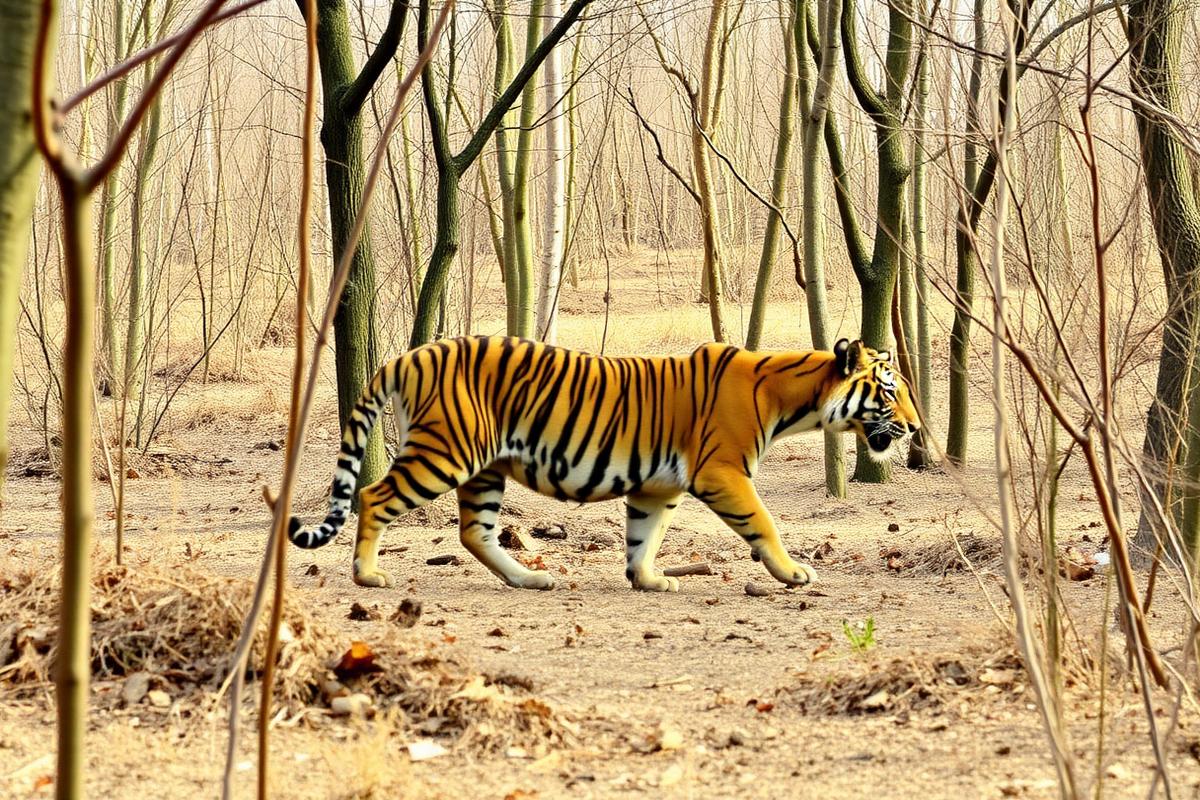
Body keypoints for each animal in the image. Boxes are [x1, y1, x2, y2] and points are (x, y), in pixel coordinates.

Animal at [289, 335, 920, 592]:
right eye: (890, 392)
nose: (916, 428)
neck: (794, 399)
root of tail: (407, 355)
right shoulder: (722, 472)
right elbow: (764, 523)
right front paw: (793, 574)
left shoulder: (657, 486)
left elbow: (644, 536)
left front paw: (649, 580)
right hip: (445, 452)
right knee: (372, 497)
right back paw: (368, 575)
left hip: (483, 468)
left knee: (474, 533)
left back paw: (530, 578)